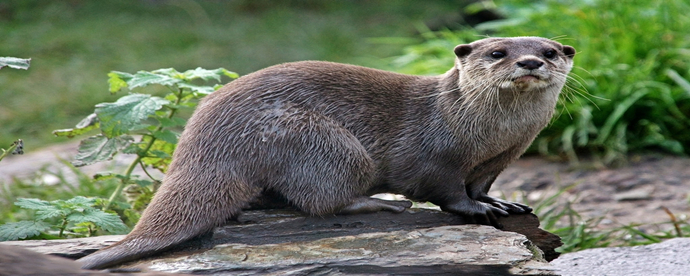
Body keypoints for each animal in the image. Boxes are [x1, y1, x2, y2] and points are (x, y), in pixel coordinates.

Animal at [78, 36, 576, 270]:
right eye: (497, 52)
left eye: (551, 51)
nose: (530, 62)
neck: (487, 133)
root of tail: (202, 142)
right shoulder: (439, 157)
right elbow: (447, 191)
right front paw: (476, 211)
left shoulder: (501, 158)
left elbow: (482, 184)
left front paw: (500, 203)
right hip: (319, 141)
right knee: (319, 199)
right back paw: (377, 205)